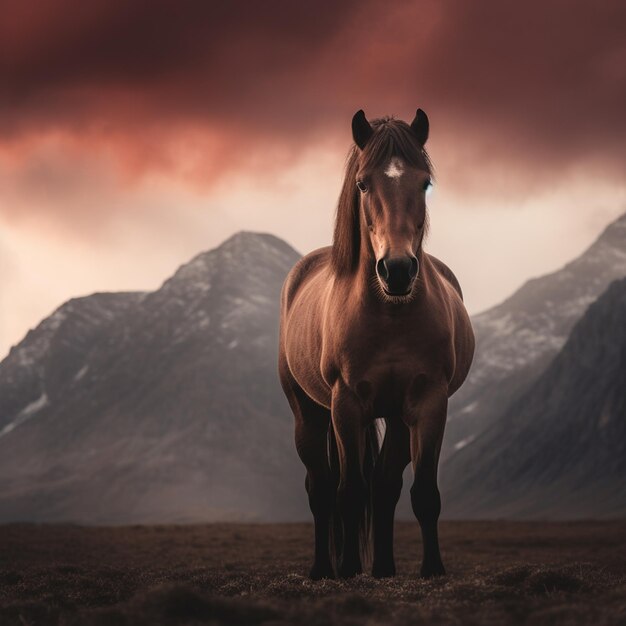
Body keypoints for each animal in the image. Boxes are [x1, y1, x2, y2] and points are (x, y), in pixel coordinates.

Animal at [278, 108, 472, 580]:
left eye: (425, 182)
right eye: (363, 183)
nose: (398, 270)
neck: (390, 316)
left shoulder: (427, 402)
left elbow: (422, 492)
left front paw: (432, 568)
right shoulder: (346, 404)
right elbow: (349, 491)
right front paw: (348, 568)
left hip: (397, 416)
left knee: (384, 484)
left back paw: (383, 566)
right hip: (310, 415)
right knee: (322, 488)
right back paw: (324, 568)